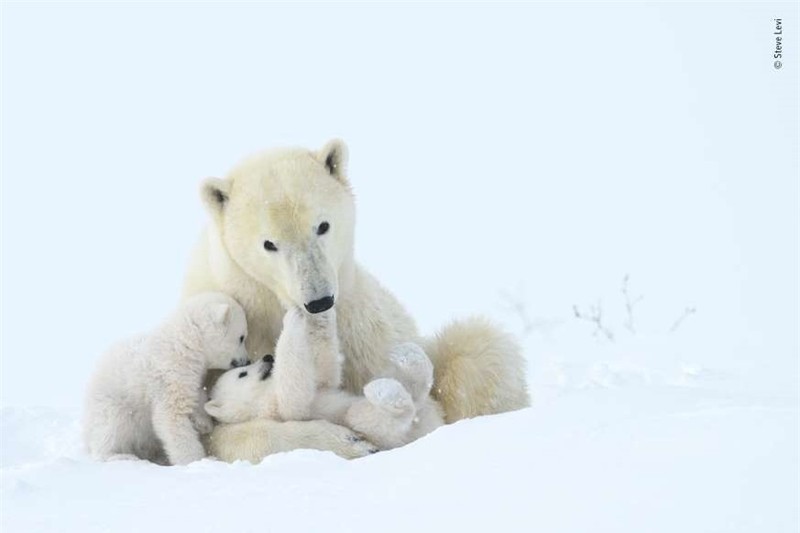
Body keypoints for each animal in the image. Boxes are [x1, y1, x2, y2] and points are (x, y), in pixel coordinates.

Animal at [83, 294, 248, 464]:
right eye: (242, 337)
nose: (247, 360)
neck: (185, 343)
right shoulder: (170, 375)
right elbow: (172, 418)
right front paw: (196, 460)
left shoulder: (189, 375)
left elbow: (195, 394)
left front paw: (204, 423)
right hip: (112, 403)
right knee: (111, 428)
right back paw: (119, 455)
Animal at [206, 306, 444, 450]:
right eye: (242, 373)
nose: (267, 357)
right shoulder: (273, 410)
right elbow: (294, 395)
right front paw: (291, 319)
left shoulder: (320, 384)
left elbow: (324, 371)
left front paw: (318, 314)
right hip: (370, 429)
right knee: (369, 418)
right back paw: (384, 391)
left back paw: (408, 355)